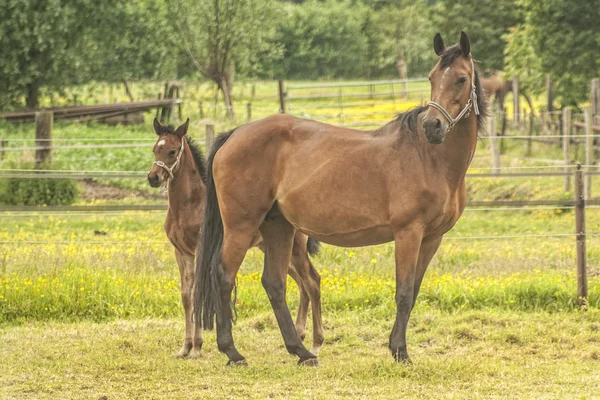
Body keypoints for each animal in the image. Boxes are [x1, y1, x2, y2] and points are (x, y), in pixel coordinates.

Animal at [196, 32, 488, 368]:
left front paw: (396, 347)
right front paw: (400, 351)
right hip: (242, 226)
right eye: (431, 77)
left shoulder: (432, 238)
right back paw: (233, 351)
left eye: (461, 78)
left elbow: (413, 291)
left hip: (278, 227)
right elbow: (403, 293)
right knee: (224, 275)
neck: (430, 157)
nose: (432, 126)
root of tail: (234, 134)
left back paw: (302, 352)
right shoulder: (408, 233)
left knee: (275, 283)